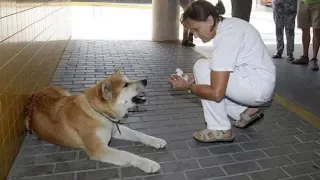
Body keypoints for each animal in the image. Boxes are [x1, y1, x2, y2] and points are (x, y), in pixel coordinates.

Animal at [25, 69, 168, 173]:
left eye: (128, 80)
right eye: (125, 85)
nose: (145, 80)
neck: (98, 112)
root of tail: (36, 95)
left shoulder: (115, 130)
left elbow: (139, 134)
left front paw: (155, 140)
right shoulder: (100, 150)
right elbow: (128, 154)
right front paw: (147, 163)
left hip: (66, 94)